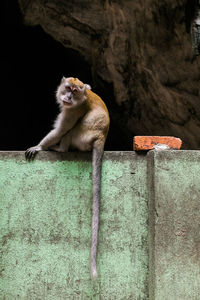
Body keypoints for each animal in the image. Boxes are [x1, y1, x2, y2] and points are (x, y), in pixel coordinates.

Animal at [25, 75, 110, 278]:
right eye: (68, 88)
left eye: (75, 91)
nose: (69, 97)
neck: (81, 99)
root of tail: (101, 137)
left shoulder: (73, 111)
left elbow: (61, 131)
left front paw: (39, 147)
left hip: (83, 137)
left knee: (71, 131)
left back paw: (60, 149)